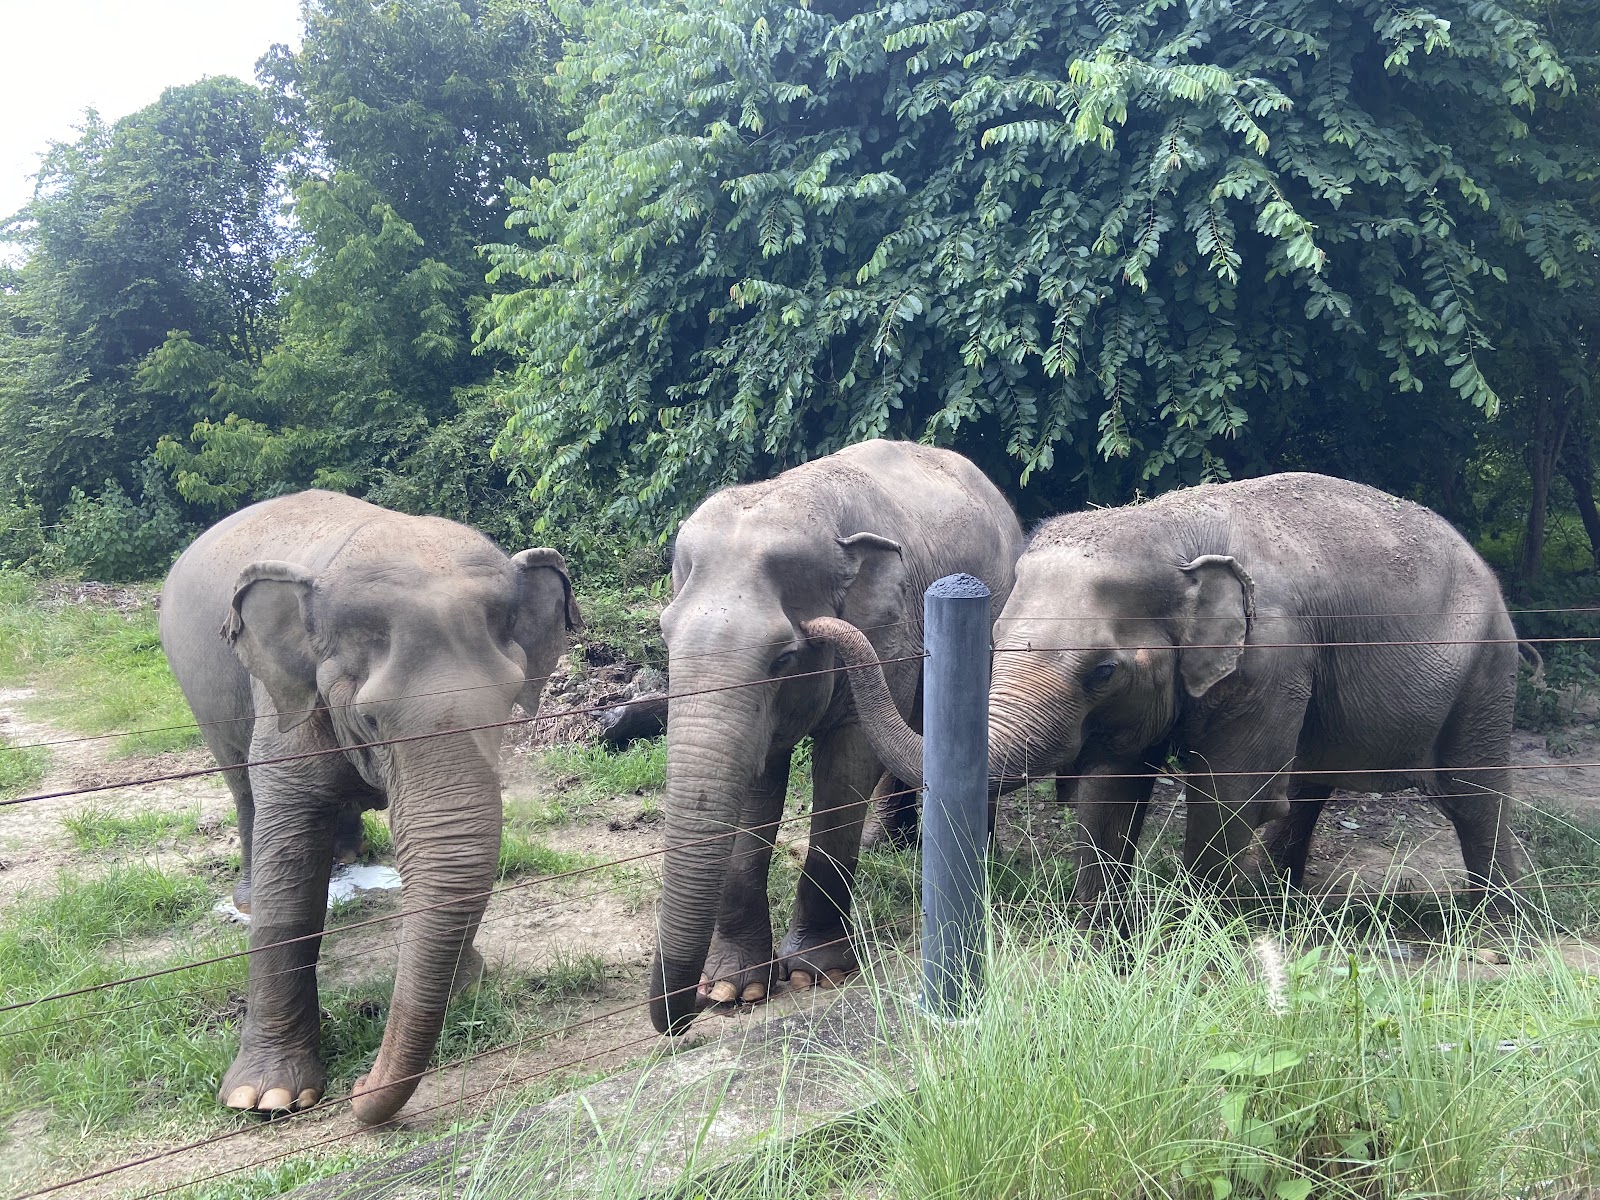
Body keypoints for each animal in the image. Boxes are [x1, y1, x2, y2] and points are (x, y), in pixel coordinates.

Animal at [160, 491, 580, 1123]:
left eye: (508, 704)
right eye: (372, 718)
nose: (359, 1088)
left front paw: (466, 986)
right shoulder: (287, 705)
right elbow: (290, 868)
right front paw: (265, 1098)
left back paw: (349, 854)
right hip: (200, 692)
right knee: (241, 787)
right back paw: (250, 896)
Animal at [649, 439, 1025, 1034]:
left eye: (783, 657)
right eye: (665, 638)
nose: (685, 1017)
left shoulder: (887, 630)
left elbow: (846, 767)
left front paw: (816, 974)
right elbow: (758, 781)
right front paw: (736, 989)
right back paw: (887, 842)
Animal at [805, 472, 1533, 913]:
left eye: (1102, 671)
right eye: (996, 643)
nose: (815, 624)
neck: (1165, 528)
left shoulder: (1272, 659)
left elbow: (1230, 793)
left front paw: (1198, 930)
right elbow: (1113, 786)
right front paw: (1099, 935)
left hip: (1485, 670)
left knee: (1473, 794)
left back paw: (1492, 920)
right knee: (1308, 786)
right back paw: (1284, 903)